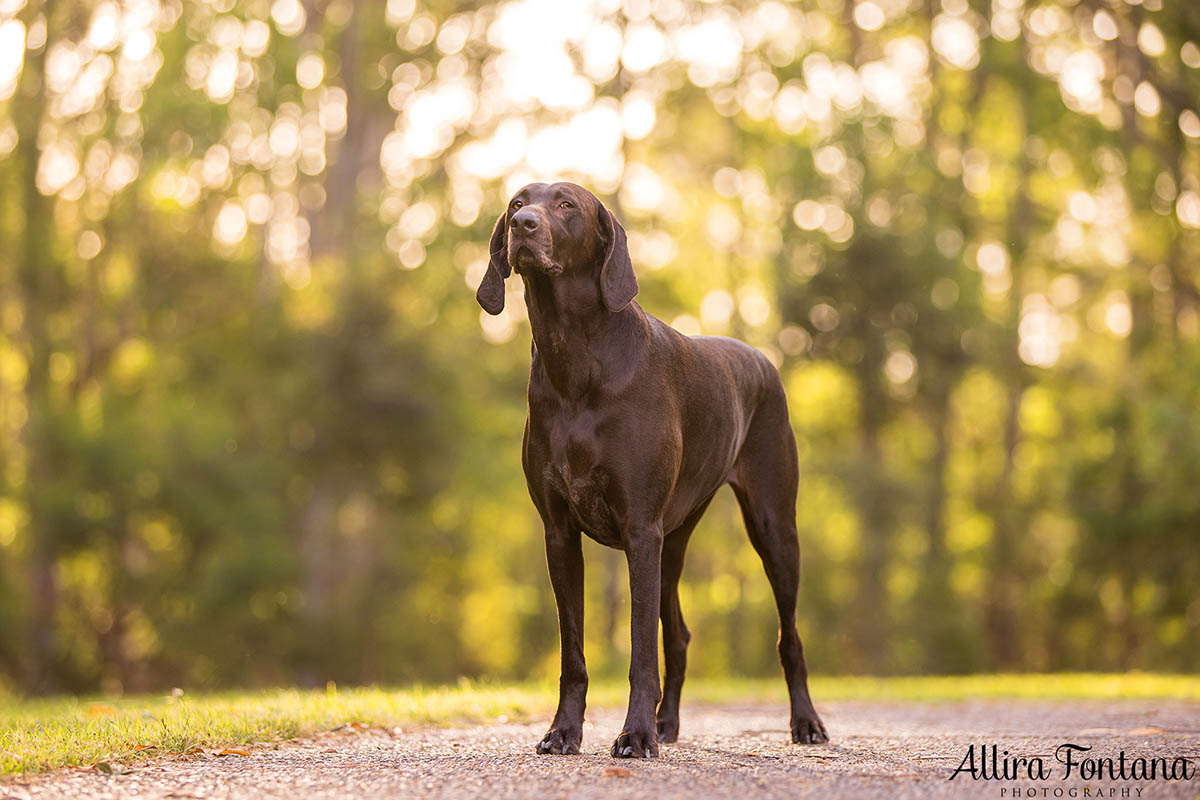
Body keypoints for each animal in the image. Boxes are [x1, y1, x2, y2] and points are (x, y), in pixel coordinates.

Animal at [475, 179, 825, 758]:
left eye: (566, 204)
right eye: (517, 202)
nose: (524, 226)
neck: (575, 358)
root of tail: (762, 359)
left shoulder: (641, 530)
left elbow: (641, 651)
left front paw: (634, 733)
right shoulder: (560, 533)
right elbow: (575, 653)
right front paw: (563, 731)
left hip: (773, 528)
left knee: (789, 634)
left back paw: (806, 723)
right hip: (675, 540)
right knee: (679, 635)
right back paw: (668, 723)